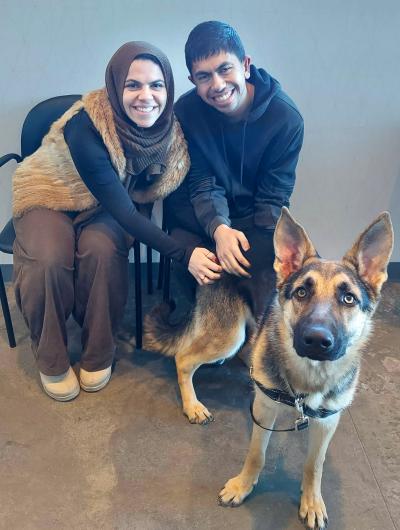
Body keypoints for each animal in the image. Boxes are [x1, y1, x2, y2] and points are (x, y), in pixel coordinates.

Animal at [145, 207, 394, 528]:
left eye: (348, 298)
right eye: (301, 293)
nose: (316, 341)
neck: (308, 376)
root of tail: (216, 245)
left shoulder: (327, 423)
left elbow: (315, 464)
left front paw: (312, 501)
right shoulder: (263, 411)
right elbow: (256, 454)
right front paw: (242, 486)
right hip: (229, 335)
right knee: (183, 358)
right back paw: (193, 406)